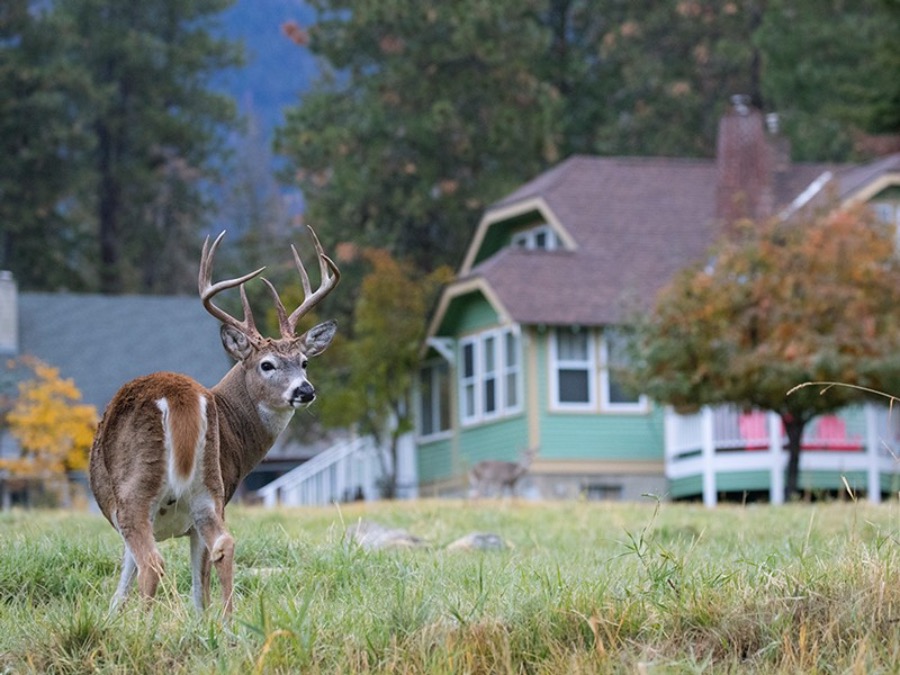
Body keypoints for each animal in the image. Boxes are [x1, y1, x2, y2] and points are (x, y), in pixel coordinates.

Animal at [89, 227, 340, 616]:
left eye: (304, 362)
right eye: (267, 364)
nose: (305, 390)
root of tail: (181, 396)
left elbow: (128, 576)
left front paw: (115, 618)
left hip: (137, 489)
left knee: (153, 562)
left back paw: (145, 624)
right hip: (207, 489)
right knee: (224, 544)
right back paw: (226, 620)